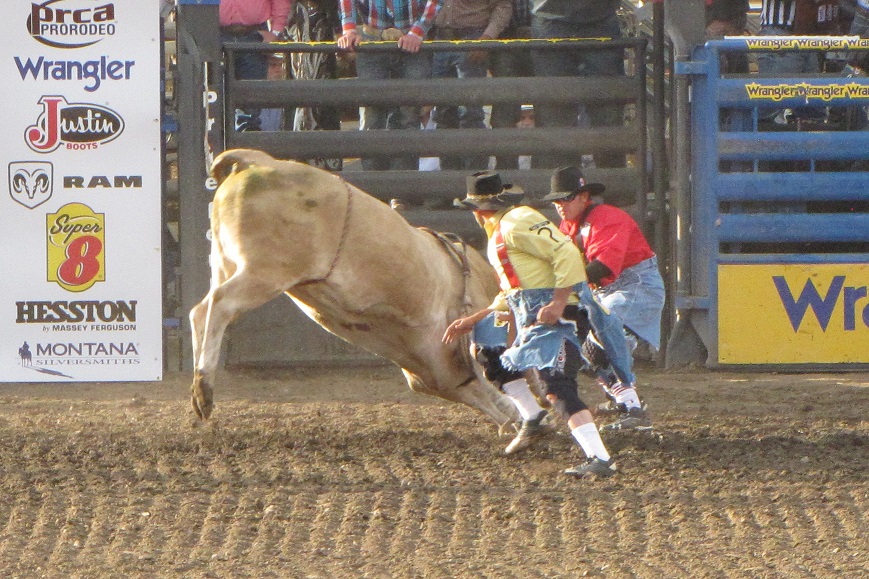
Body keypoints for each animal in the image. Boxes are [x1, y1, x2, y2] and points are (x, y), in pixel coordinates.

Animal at [189, 150, 520, 430]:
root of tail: (254, 161)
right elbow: (488, 383)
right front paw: (516, 416)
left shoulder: (435, 368)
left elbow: (471, 390)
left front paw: (513, 423)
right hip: (265, 272)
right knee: (218, 305)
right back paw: (204, 388)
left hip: (225, 263)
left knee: (200, 312)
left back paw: (198, 389)